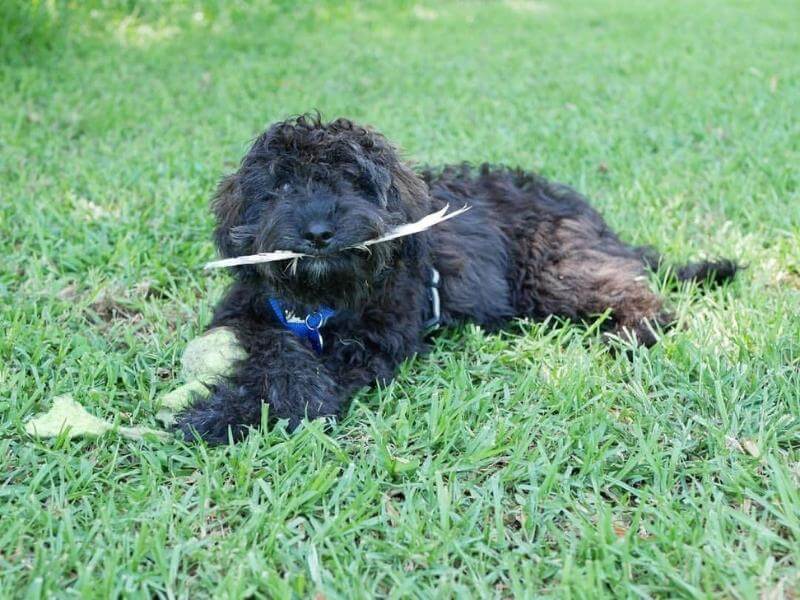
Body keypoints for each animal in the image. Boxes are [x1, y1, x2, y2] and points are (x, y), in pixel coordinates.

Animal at [178, 115, 740, 442]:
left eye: (353, 181)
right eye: (281, 186)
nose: (318, 232)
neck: (319, 302)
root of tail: (596, 221)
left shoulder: (369, 345)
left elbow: (304, 377)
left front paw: (226, 413)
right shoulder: (247, 312)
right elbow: (274, 348)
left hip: (556, 268)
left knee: (638, 296)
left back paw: (632, 333)